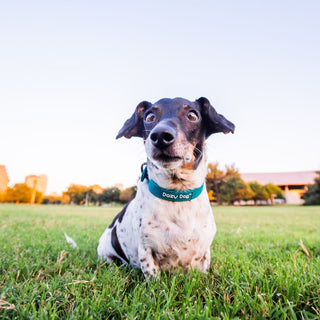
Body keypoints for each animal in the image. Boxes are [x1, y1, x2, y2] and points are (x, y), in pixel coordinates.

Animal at [96, 96, 234, 278]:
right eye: (149, 117)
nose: (161, 135)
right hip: (106, 254)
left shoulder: (204, 253)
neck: (178, 194)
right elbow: (153, 275)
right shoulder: (146, 250)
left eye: (192, 115)